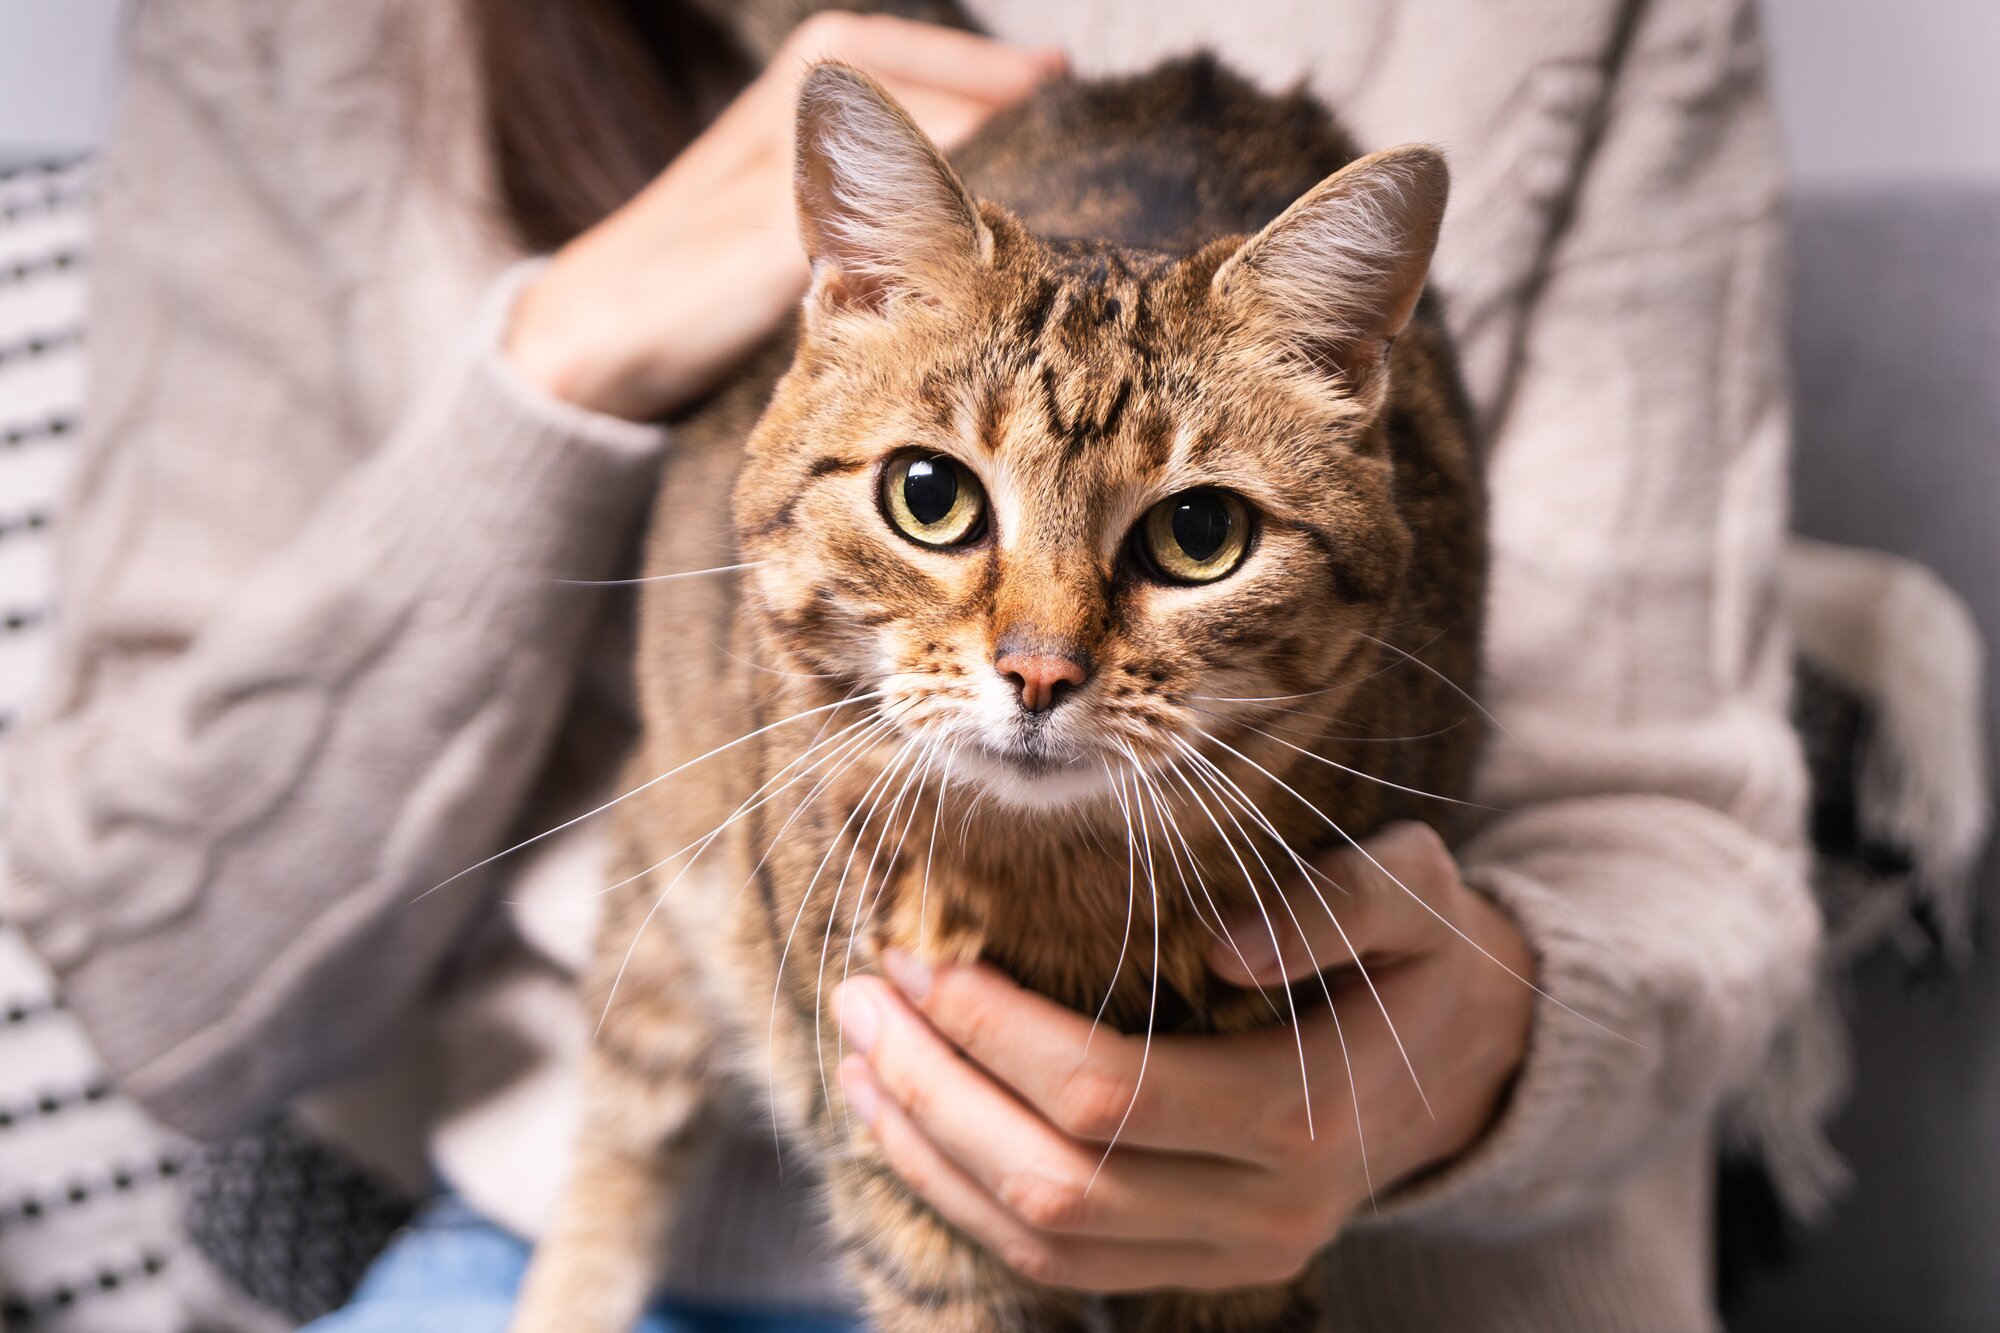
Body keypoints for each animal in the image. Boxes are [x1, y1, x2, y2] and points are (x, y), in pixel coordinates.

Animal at [516, 20, 1488, 1328]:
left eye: (1200, 533)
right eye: (928, 496)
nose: (1037, 671)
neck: (1052, 889)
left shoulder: (1242, 1242)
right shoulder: (890, 1152)